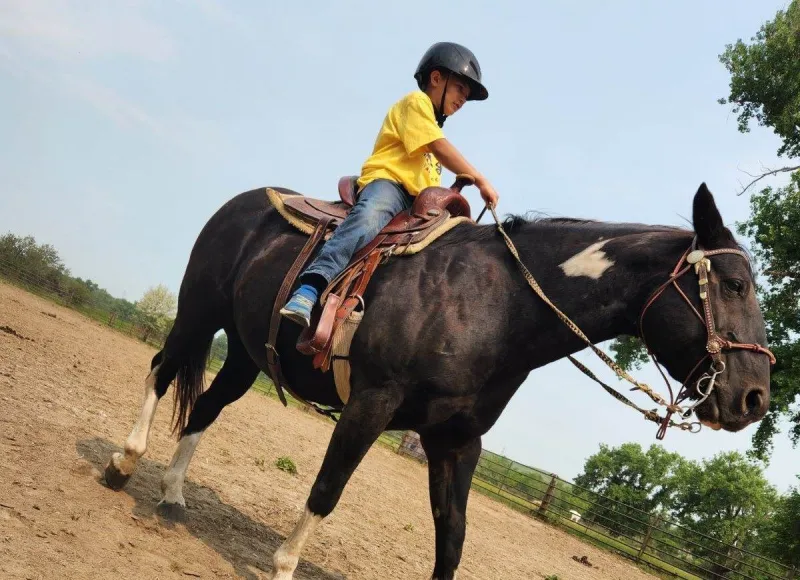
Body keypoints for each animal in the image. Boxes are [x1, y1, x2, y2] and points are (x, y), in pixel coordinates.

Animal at [103, 181, 774, 580]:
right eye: (735, 285)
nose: (754, 398)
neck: (496, 304)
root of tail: (244, 203)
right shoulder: (371, 405)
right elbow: (326, 491)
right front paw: (284, 564)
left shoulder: (457, 440)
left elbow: (452, 536)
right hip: (198, 312)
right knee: (161, 373)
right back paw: (123, 462)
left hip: (247, 352)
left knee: (206, 408)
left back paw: (172, 498)